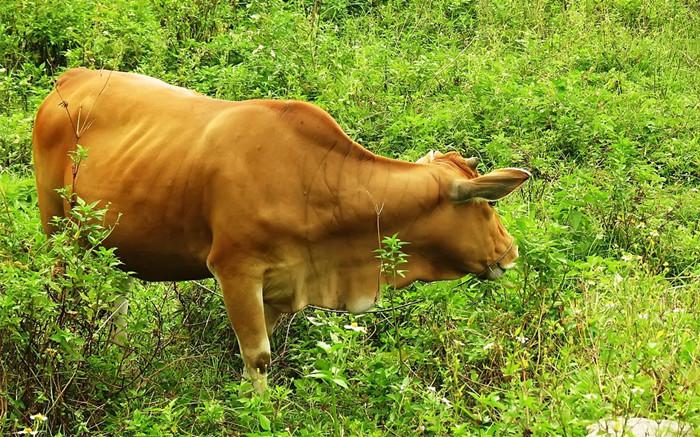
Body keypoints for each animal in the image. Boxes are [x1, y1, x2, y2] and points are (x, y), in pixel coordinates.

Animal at [30, 68, 528, 392]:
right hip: (57, 230)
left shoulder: (281, 284)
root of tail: (70, 79)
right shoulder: (235, 270)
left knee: (113, 301)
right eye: (487, 204)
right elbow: (258, 357)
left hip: (110, 247)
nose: (511, 252)